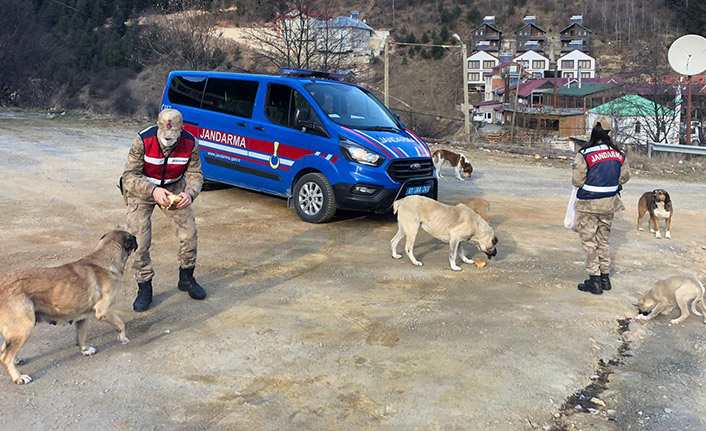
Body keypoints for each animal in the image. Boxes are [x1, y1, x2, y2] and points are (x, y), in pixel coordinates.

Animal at [0, 230, 137, 384]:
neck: (103, 260)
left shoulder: (82, 318)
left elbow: (81, 336)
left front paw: (85, 350)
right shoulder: (104, 311)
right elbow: (121, 324)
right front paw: (122, 338)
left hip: (16, 330)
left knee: (5, 348)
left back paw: (17, 360)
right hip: (24, 328)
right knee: (5, 357)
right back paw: (18, 377)